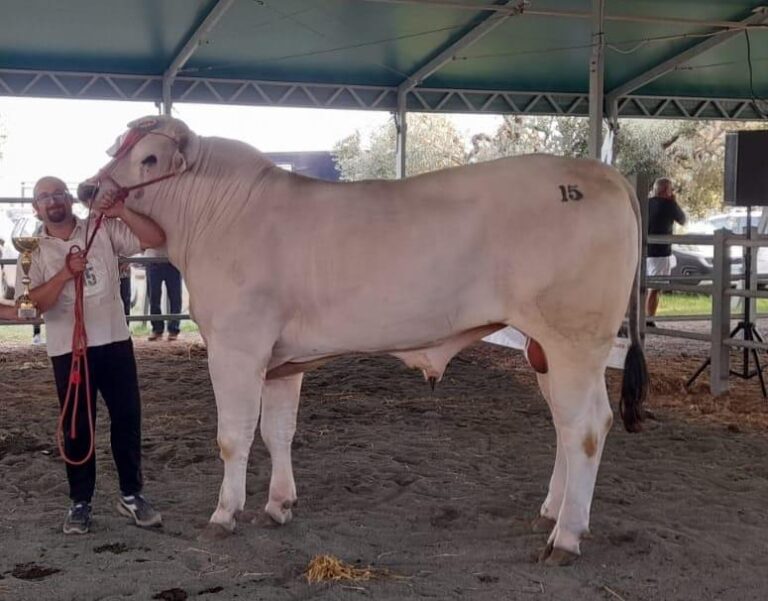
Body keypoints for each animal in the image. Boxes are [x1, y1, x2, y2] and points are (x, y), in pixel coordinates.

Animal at [81, 116, 648, 564]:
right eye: (117, 149)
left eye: (149, 158)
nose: (88, 189)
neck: (218, 215)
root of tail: (604, 174)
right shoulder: (282, 360)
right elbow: (278, 432)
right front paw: (277, 506)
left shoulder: (236, 347)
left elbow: (233, 436)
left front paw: (224, 514)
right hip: (544, 349)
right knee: (564, 427)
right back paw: (551, 512)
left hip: (576, 339)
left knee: (586, 428)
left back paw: (566, 537)